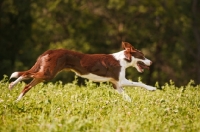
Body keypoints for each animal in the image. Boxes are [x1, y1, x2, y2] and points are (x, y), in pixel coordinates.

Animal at [9, 41, 156, 101]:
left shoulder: (116, 85)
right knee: (25, 74)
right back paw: (11, 85)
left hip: (45, 73)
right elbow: (139, 83)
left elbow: (127, 97)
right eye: (143, 56)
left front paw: (133, 106)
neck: (124, 59)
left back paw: (16, 99)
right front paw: (152, 88)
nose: (151, 62)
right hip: (48, 73)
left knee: (27, 85)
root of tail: (49, 51)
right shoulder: (121, 81)